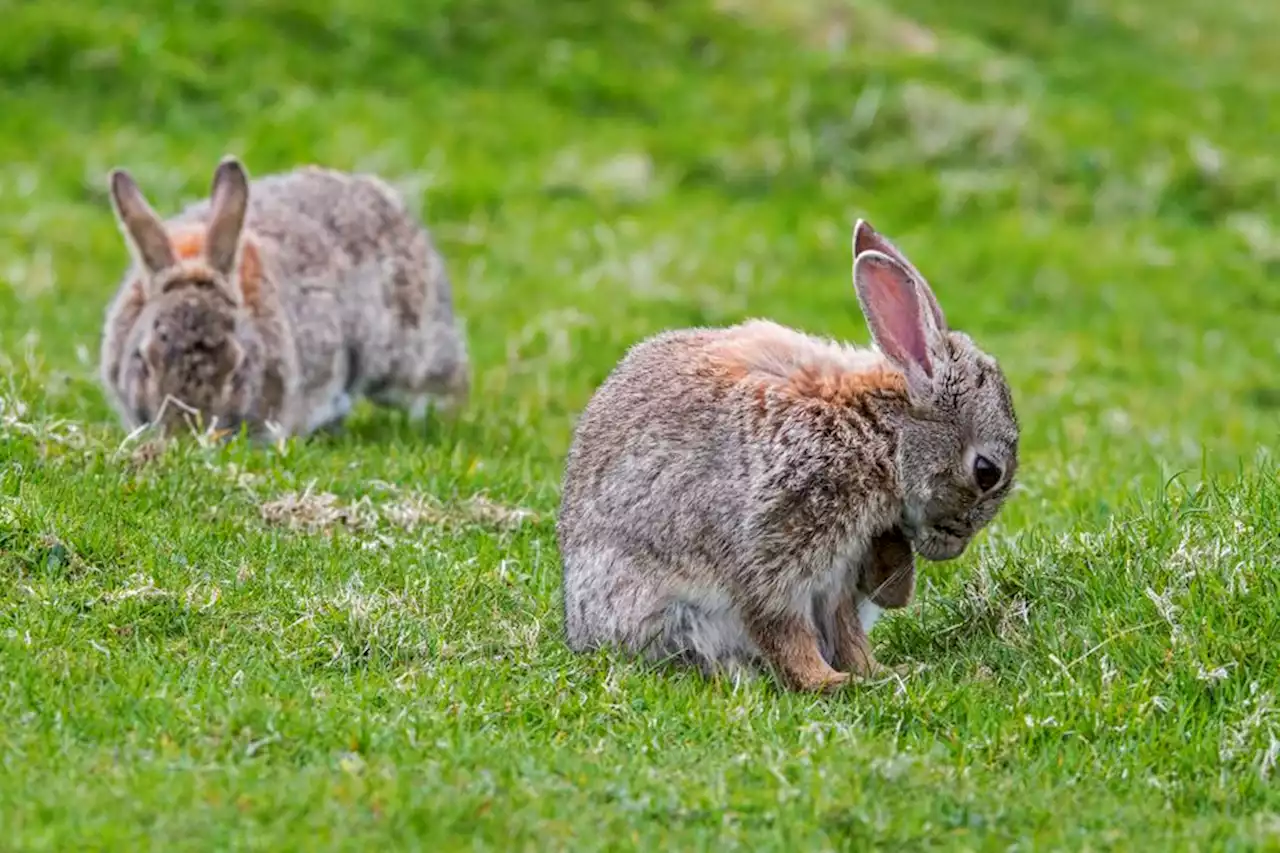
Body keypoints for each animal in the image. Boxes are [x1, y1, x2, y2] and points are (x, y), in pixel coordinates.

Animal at [560, 219, 1018, 691]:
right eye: (987, 472)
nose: (953, 547)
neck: (879, 433)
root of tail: (580, 627)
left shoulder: (839, 571)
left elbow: (845, 630)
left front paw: (882, 673)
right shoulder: (776, 544)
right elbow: (781, 627)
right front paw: (828, 682)